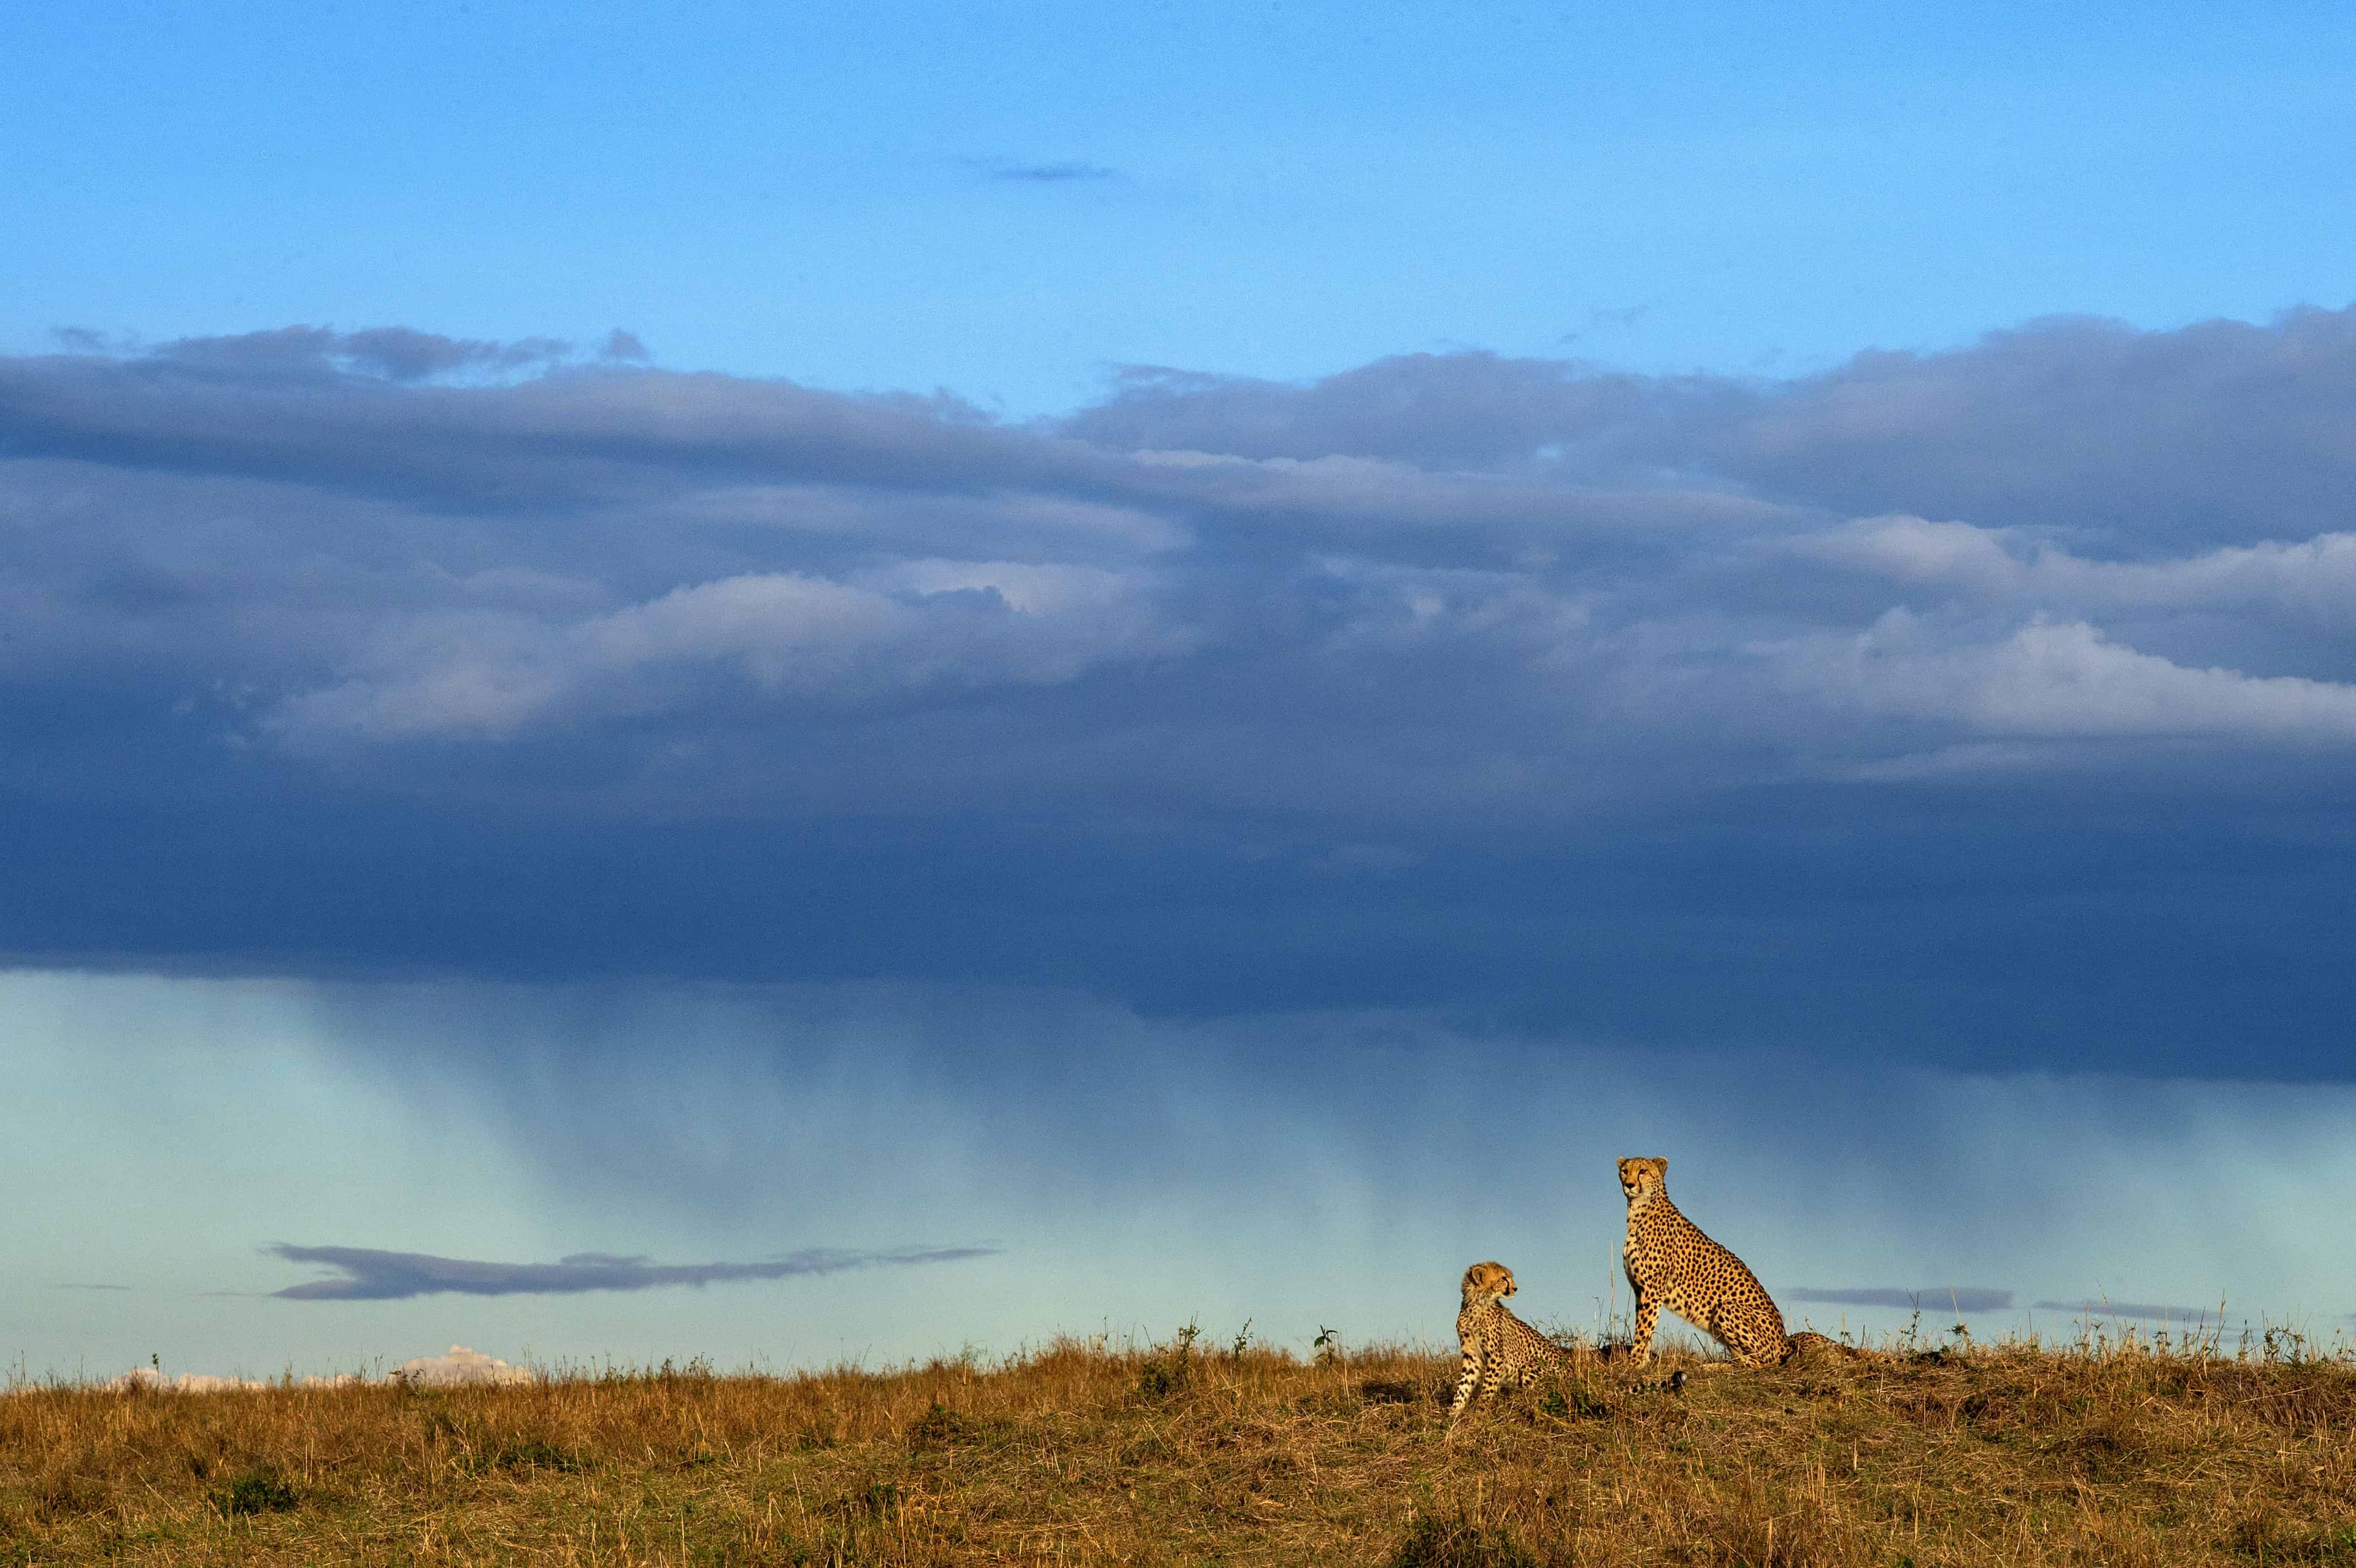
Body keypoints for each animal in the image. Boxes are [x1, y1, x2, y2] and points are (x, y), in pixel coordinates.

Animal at [1450, 1261, 1587, 1424]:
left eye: (1510, 1277)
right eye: (1504, 1278)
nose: (1516, 1288)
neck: (1476, 1303)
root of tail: (1574, 1376)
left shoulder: (1497, 1357)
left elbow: (1488, 1387)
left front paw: (1480, 1413)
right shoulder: (1472, 1357)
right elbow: (1464, 1386)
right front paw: (1453, 1414)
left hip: (1532, 1368)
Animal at [1617, 1157, 1868, 1370]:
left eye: (1643, 1171)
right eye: (1624, 1171)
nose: (1629, 1184)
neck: (1638, 1211)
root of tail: (1785, 1342)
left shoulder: (1652, 1289)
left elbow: (1643, 1330)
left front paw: (1633, 1365)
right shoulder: (1641, 1290)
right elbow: (1646, 1329)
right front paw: (1642, 1363)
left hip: (1726, 1308)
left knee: (1757, 1365)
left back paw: (1714, 1367)